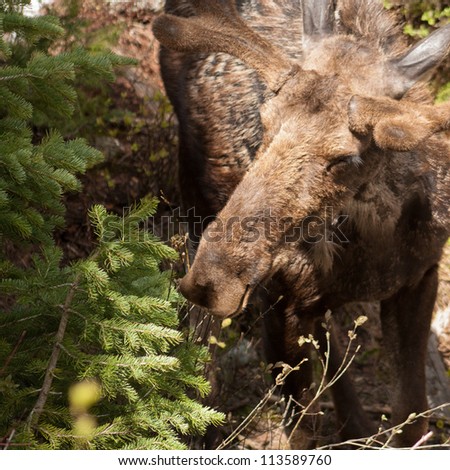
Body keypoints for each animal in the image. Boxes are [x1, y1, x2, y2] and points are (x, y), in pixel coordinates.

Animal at [154, 0, 450, 448]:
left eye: (345, 156)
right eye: (265, 121)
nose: (213, 280)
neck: (372, 248)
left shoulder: (420, 277)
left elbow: (412, 418)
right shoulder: (276, 298)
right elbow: (301, 431)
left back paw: (355, 425)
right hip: (193, 198)